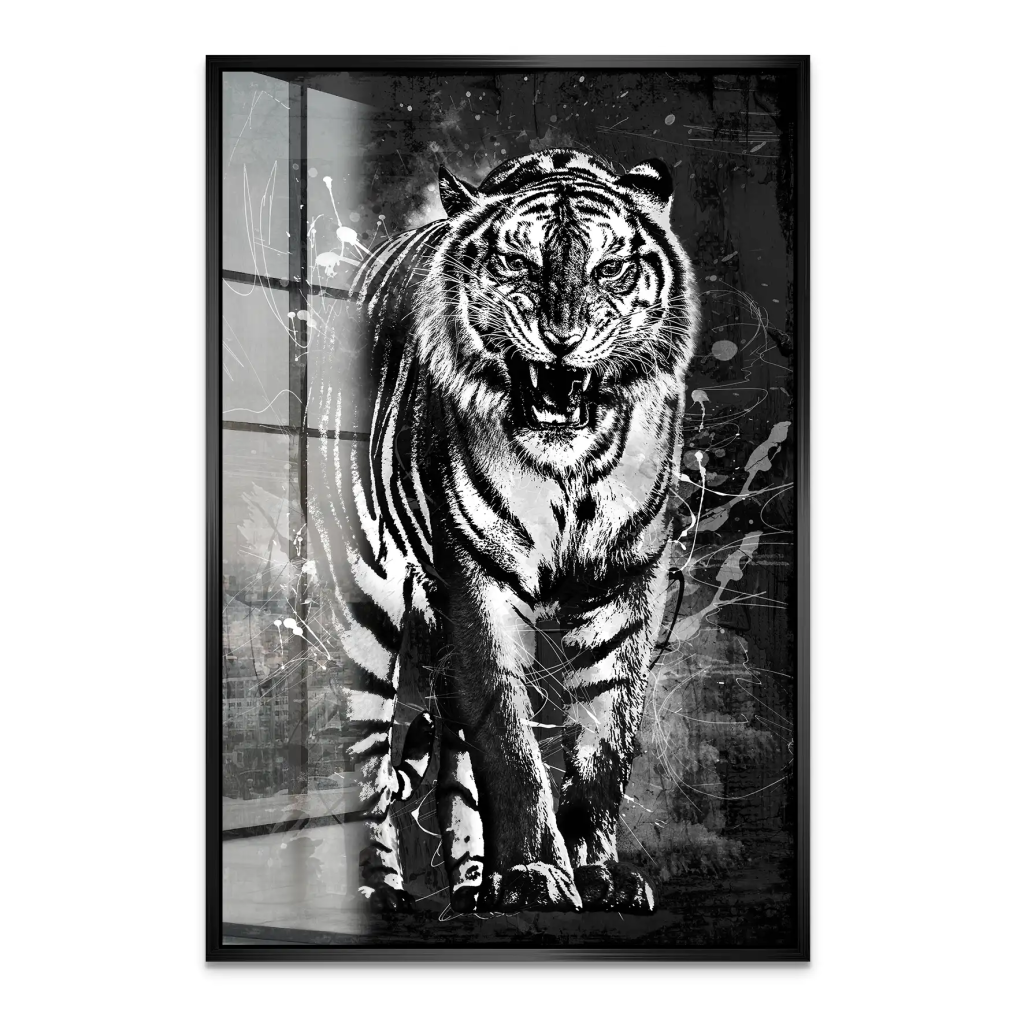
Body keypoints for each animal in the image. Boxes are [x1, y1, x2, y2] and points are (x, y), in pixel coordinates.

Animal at [309, 148, 699, 916]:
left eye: (610, 268)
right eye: (519, 263)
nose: (562, 339)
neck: (569, 467)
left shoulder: (624, 585)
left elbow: (605, 738)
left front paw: (596, 874)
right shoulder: (478, 582)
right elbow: (510, 743)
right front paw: (533, 874)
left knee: (454, 767)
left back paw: (470, 887)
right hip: (365, 608)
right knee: (365, 760)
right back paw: (381, 890)